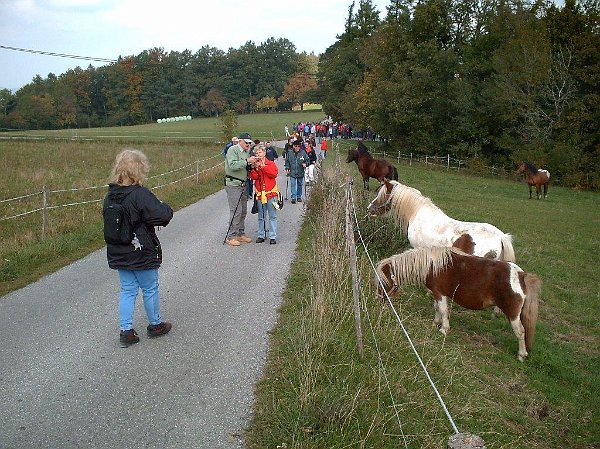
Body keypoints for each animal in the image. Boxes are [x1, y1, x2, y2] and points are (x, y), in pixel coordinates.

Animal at [376, 245, 540, 360]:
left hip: (512, 314)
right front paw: (435, 323)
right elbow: (437, 308)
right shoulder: (437, 294)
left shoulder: (440, 293)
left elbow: (442, 310)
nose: (378, 300)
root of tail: (520, 274)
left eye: (383, 282)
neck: (432, 265)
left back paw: (521, 355)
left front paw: (444, 329)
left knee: (520, 332)